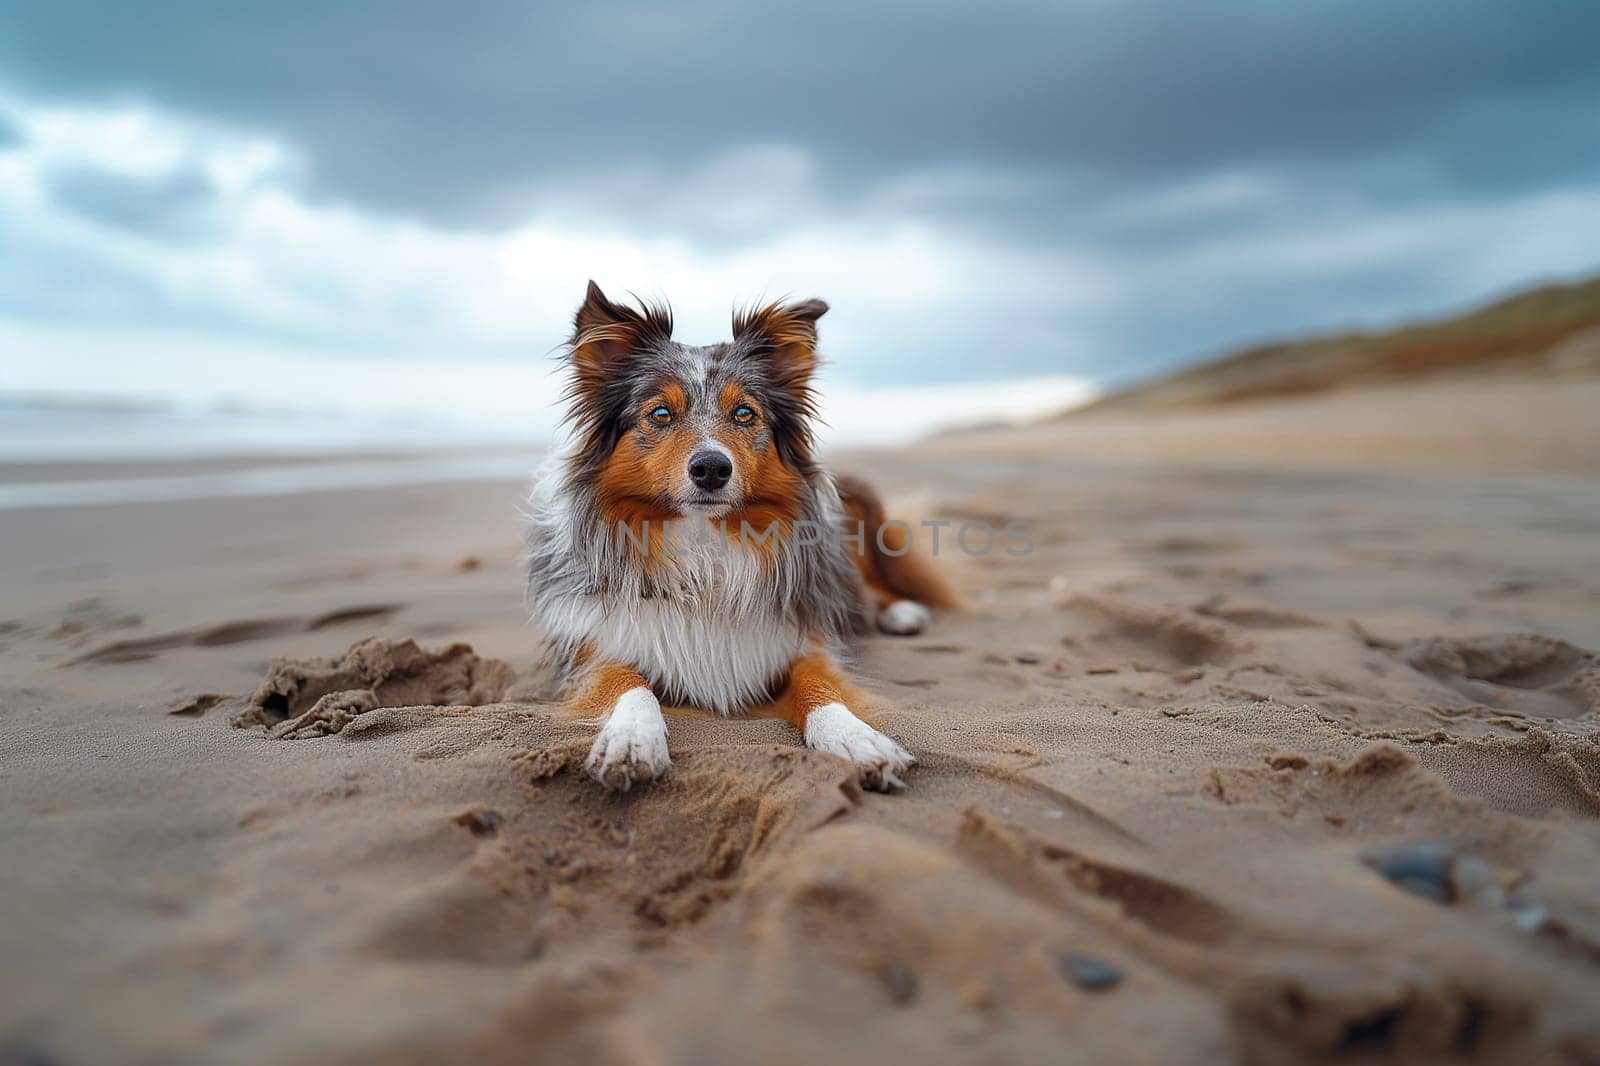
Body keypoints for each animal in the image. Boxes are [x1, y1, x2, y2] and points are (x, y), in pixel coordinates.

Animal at [524, 281, 953, 787]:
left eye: (745, 413)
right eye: (661, 413)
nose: (712, 468)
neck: (703, 549)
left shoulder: (799, 641)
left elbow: (821, 685)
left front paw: (855, 738)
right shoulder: (594, 649)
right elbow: (628, 684)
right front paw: (631, 739)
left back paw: (903, 612)